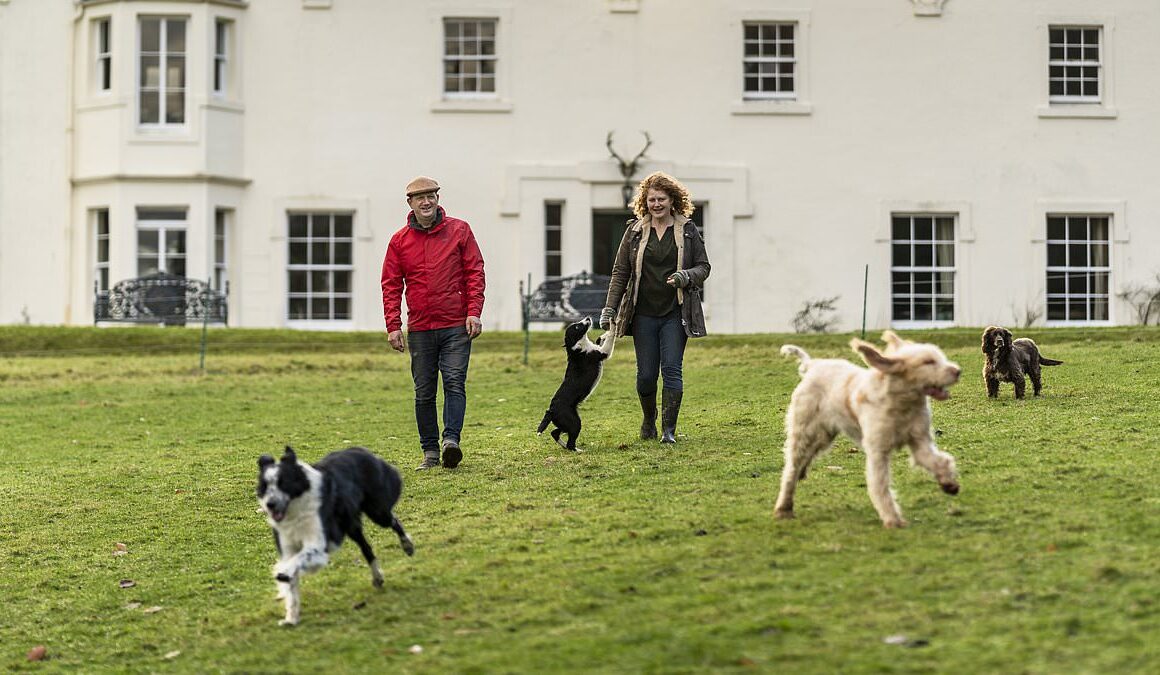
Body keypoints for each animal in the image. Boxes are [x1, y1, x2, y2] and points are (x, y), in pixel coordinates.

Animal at [256, 447, 415, 626]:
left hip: (377, 512)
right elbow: (292, 586)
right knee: (366, 547)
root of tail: (363, 450)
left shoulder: (318, 543)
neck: (295, 510)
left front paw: (283, 572)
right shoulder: (288, 547)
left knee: (394, 521)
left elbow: (297, 561)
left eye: (283, 483)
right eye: (265, 486)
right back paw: (377, 577)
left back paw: (407, 546)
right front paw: (291, 618)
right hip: (352, 525)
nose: (270, 504)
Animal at [535, 317, 617, 454]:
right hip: (574, 422)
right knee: (569, 441)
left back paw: (565, 446)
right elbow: (611, 336)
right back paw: (577, 450)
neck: (576, 347)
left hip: (565, 424)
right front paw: (612, 325)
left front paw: (603, 334)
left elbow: (602, 339)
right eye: (577, 327)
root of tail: (551, 410)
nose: (588, 318)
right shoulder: (603, 352)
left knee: (554, 433)